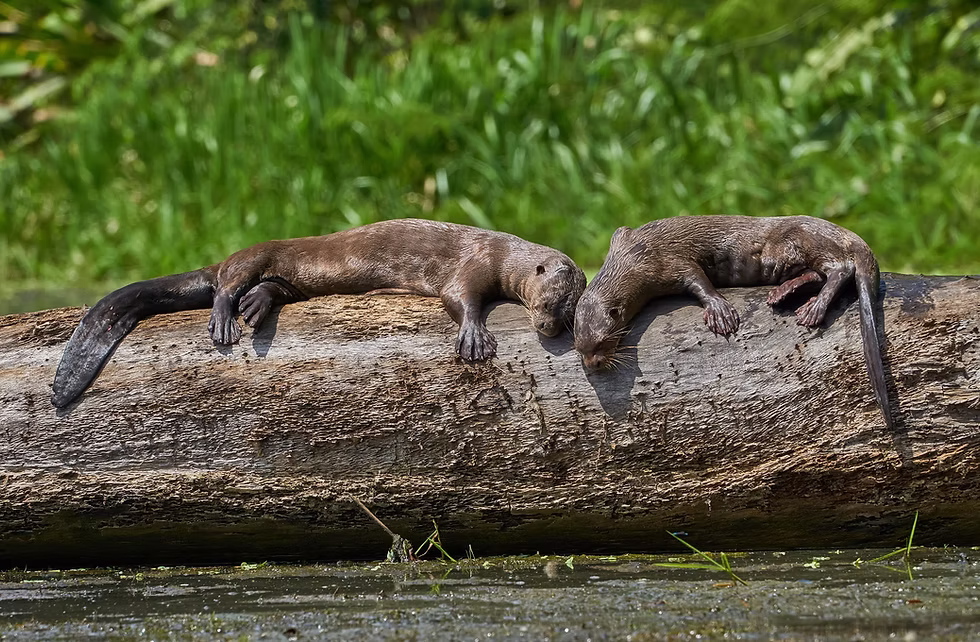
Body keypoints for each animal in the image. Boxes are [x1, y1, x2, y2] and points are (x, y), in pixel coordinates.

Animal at [52, 219, 586, 407]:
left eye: (569, 312)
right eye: (548, 302)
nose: (547, 327)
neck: (504, 255)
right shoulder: (472, 264)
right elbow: (459, 300)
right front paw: (474, 337)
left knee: (267, 289)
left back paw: (255, 307)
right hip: (254, 253)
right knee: (226, 283)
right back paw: (226, 319)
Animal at [574, 215, 895, 429]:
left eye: (601, 342)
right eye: (579, 347)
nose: (593, 364)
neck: (634, 257)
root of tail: (847, 233)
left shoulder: (670, 262)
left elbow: (698, 279)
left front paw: (720, 312)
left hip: (800, 240)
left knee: (840, 268)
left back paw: (812, 309)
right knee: (817, 273)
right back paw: (784, 292)